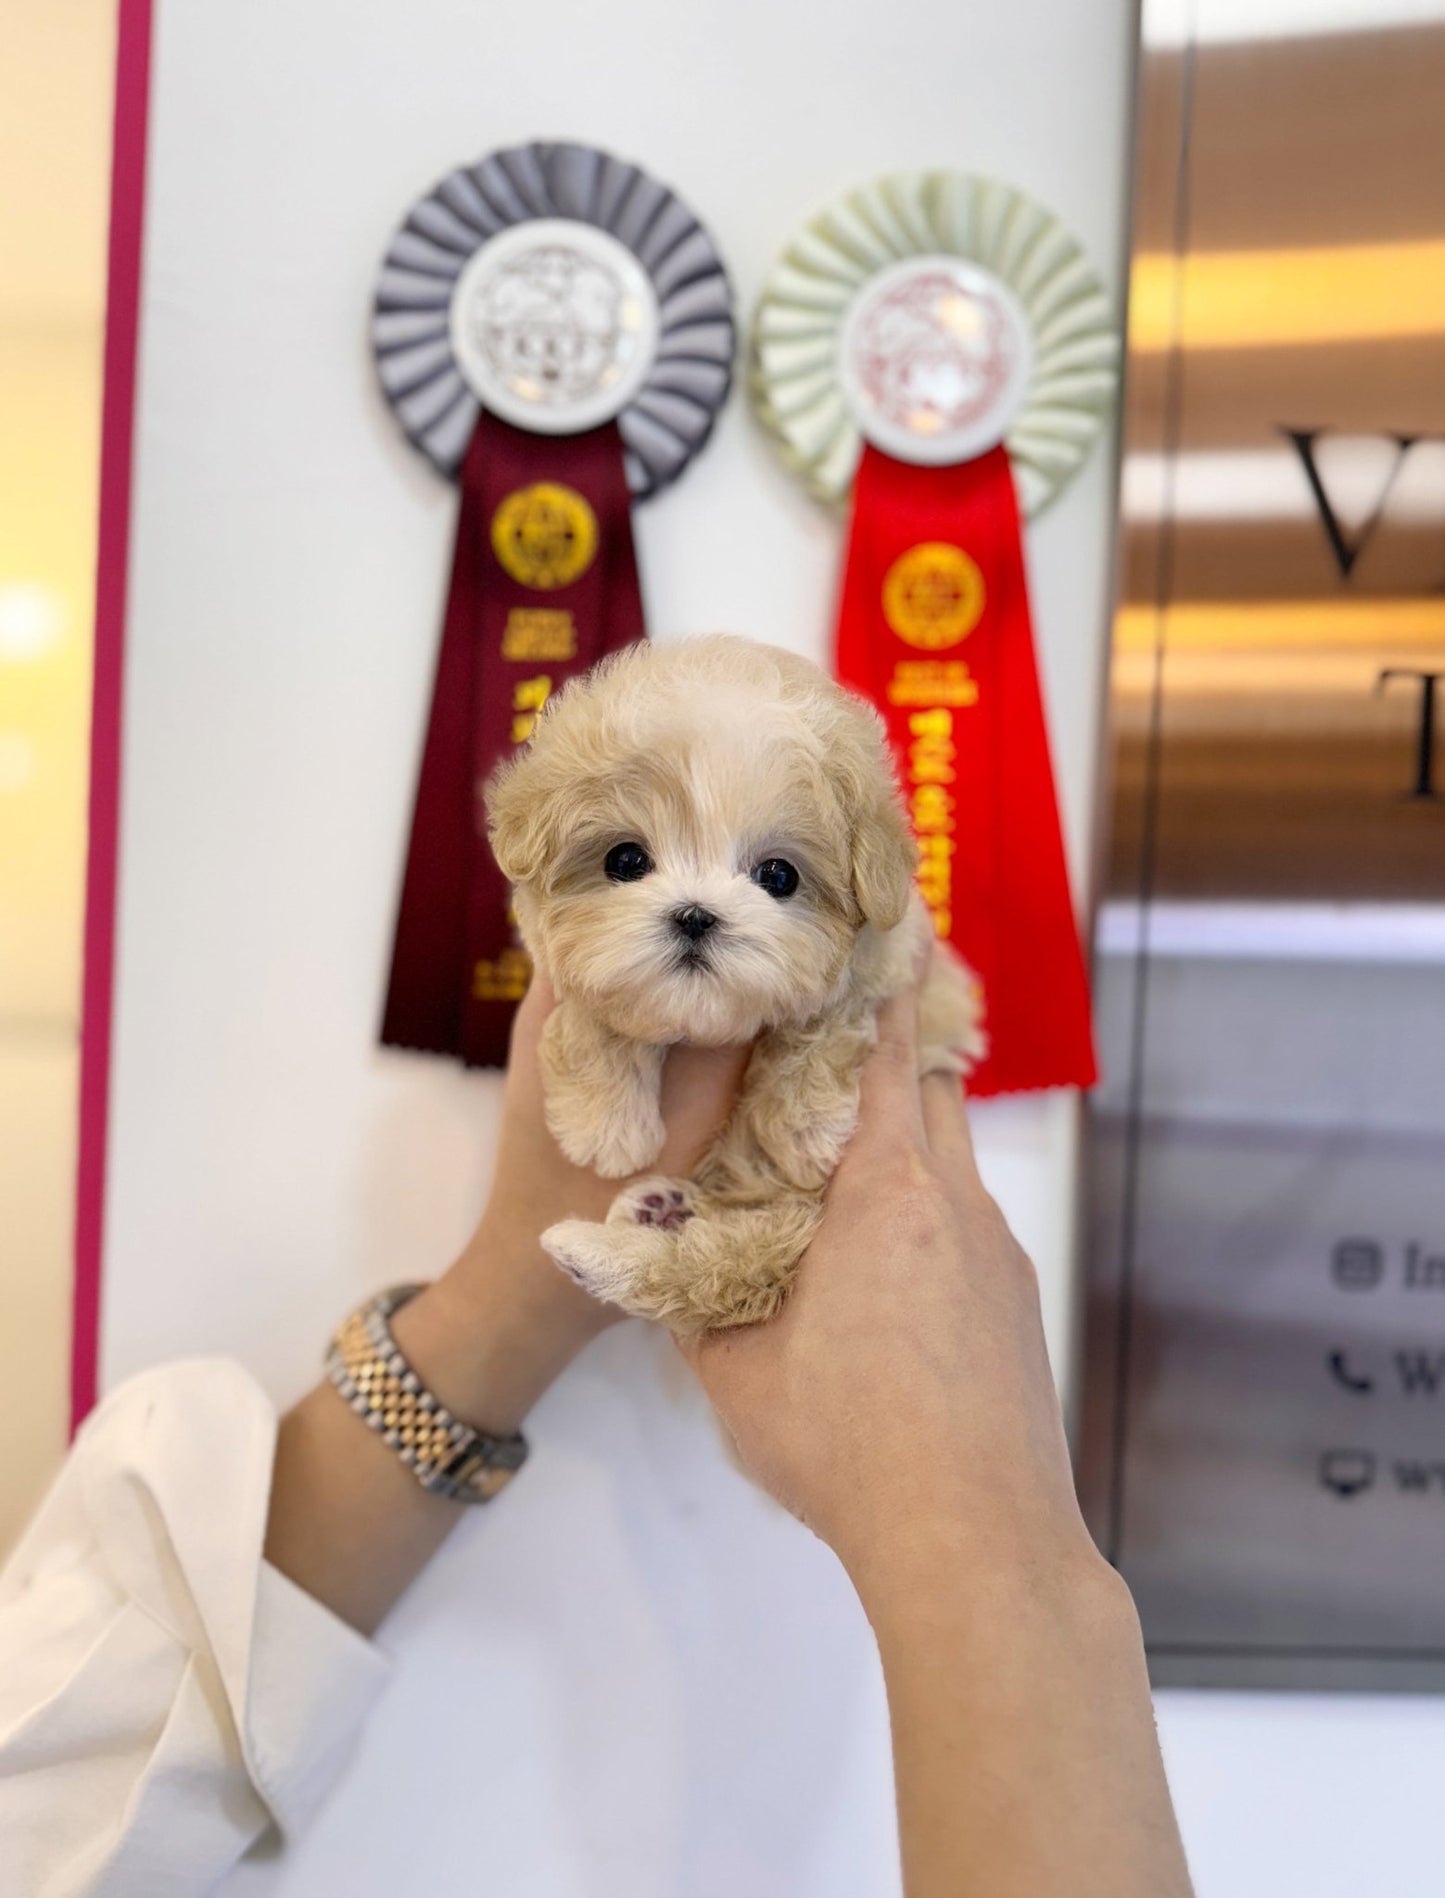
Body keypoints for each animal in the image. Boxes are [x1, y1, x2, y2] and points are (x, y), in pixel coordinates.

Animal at [484, 637, 979, 1336]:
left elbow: (821, 1022)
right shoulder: (560, 965)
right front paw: (604, 1125)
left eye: (779, 876)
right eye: (625, 860)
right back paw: (653, 1210)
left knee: (726, 1266)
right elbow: (592, 1014)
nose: (695, 915)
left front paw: (802, 1130)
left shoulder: (892, 954)